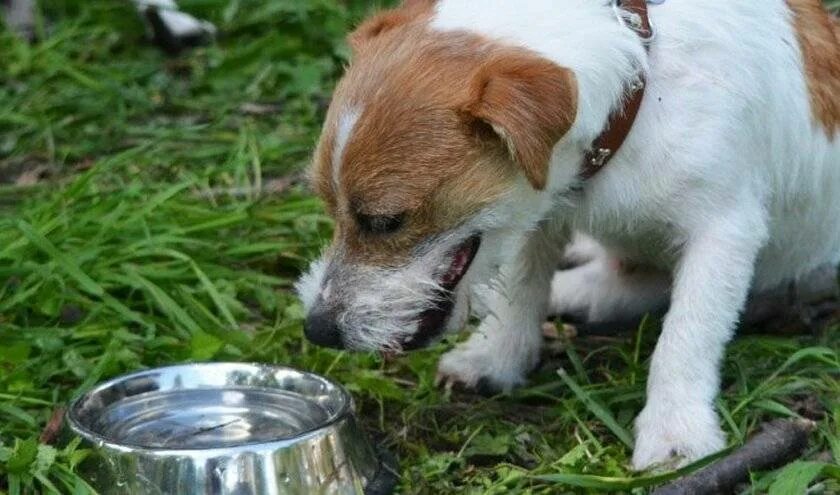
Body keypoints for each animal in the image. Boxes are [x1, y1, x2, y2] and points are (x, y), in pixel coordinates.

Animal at [296, 0, 840, 470]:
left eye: (386, 221)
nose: (317, 330)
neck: (639, 91)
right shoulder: (534, 216)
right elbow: (518, 289)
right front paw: (496, 356)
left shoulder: (723, 231)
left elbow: (686, 335)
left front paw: (674, 434)